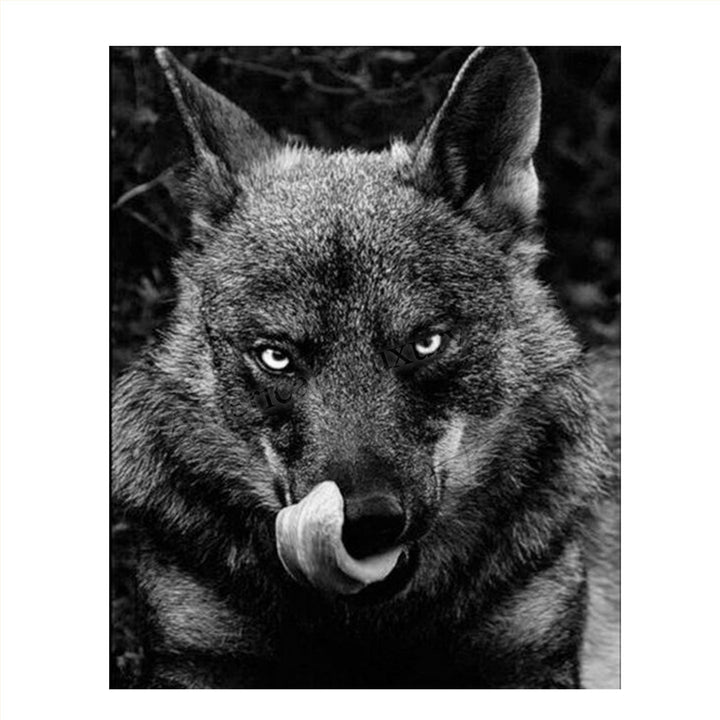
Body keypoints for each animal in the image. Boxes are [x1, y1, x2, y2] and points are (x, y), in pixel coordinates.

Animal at [112, 46, 620, 688]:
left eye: (426, 343)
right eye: (276, 356)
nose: (367, 522)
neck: (369, 632)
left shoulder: (529, 662)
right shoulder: (196, 658)